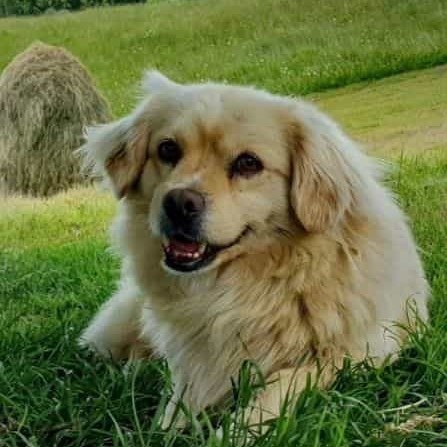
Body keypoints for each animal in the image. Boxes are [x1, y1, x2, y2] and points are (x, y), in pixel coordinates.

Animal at [80, 73, 430, 430]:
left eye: (248, 163)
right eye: (167, 149)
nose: (178, 202)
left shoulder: (359, 353)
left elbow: (282, 384)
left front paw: (237, 430)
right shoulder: (194, 367)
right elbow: (175, 409)